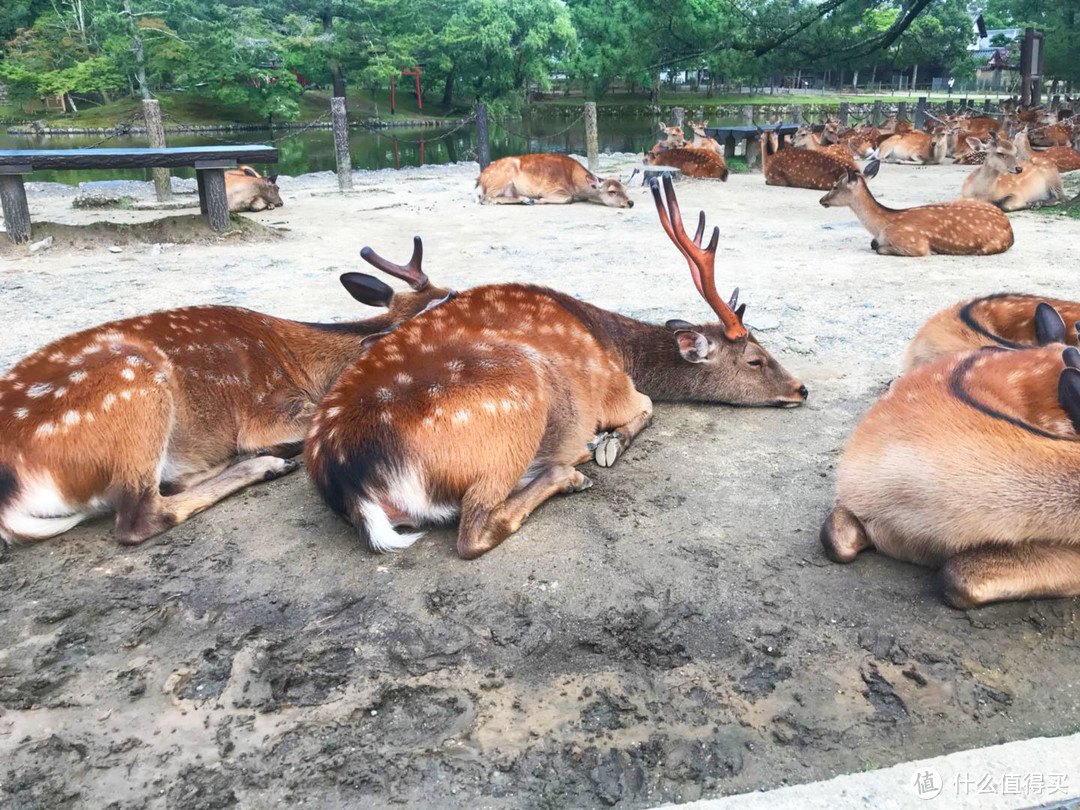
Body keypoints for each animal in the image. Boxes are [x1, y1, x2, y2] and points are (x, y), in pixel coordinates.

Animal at [302, 174, 803, 561]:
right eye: (755, 360)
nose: (802, 389)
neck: (614, 345)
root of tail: (349, 477)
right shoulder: (615, 388)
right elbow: (647, 406)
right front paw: (607, 444)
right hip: (513, 403)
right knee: (474, 528)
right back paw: (571, 470)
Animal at [473, 153, 630, 207]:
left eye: (625, 189)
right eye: (612, 191)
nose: (630, 202)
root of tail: (480, 178)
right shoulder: (551, 189)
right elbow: (568, 198)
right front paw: (538, 199)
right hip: (499, 181)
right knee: (486, 199)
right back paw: (527, 199)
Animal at [820, 160, 1015, 257]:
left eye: (835, 186)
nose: (822, 200)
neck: (884, 224)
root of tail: (1010, 229)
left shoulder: (915, 244)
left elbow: (879, 248)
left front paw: (934, 250)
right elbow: (874, 243)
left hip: (989, 246)